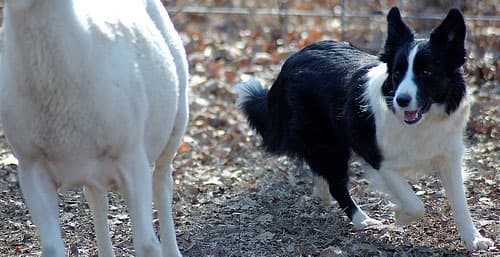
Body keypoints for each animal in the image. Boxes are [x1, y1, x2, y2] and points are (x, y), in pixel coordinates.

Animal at [237, 7, 492, 249]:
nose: (401, 100)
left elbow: (460, 203)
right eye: (397, 72)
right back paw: (362, 219)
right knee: (336, 183)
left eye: (426, 72)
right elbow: (415, 203)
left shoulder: (449, 156)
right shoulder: (380, 161)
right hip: (328, 143)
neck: (423, 122)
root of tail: (291, 60)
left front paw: (473, 239)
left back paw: (322, 192)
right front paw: (400, 216)